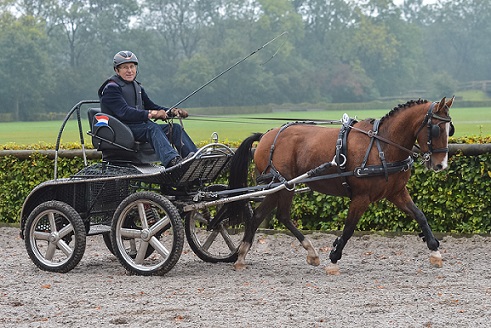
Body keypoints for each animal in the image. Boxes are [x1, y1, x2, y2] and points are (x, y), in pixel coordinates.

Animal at [229, 96, 456, 274]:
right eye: (436, 129)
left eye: (449, 129)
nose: (440, 165)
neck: (382, 146)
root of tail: (266, 135)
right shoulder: (361, 197)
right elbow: (348, 229)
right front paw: (334, 259)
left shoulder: (397, 192)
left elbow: (420, 215)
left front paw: (435, 251)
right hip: (282, 186)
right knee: (273, 215)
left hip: (283, 187)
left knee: (267, 216)